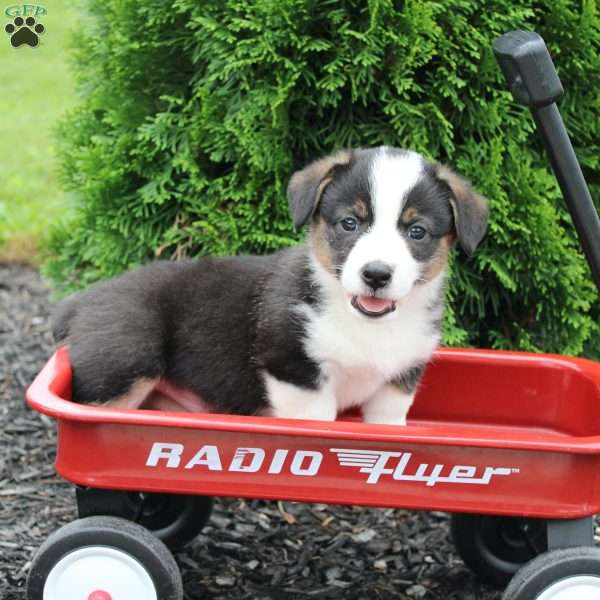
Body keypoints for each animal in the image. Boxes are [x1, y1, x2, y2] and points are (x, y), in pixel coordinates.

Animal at [52, 148, 488, 424]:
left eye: (417, 231)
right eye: (350, 223)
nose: (376, 274)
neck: (365, 324)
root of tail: (82, 300)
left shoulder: (396, 386)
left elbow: (388, 424)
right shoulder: (295, 371)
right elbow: (318, 424)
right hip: (126, 365)